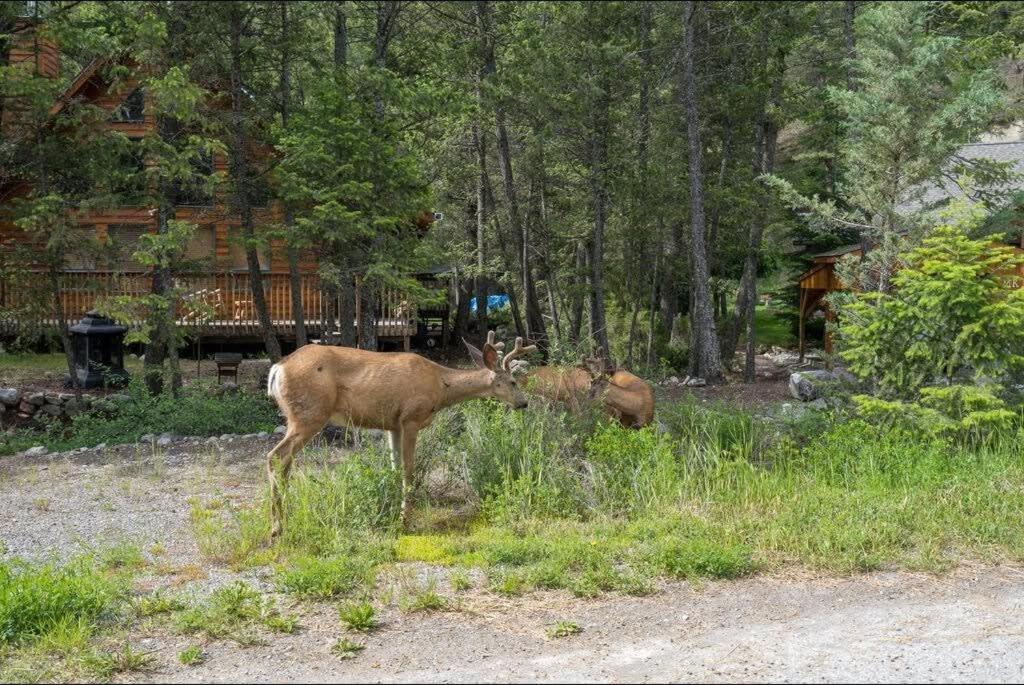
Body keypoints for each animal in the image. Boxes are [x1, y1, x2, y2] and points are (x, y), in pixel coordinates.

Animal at [265, 331, 536, 538]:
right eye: (513, 382)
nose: (524, 403)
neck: (441, 386)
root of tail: (278, 368)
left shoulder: (392, 425)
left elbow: (394, 468)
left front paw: (392, 513)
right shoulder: (410, 418)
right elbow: (408, 470)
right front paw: (406, 520)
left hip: (296, 416)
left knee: (285, 462)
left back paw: (284, 518)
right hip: (310, 414)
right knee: (275, 456)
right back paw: (277, 527)